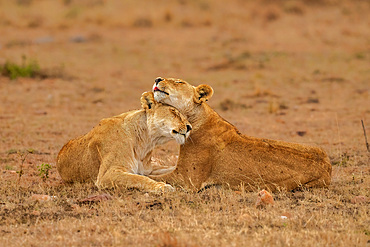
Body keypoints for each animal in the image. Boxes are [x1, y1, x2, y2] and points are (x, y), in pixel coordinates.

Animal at [57, 91, 194, 192]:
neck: (146, 142)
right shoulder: (107, 175)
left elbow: (169, 168)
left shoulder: (148, 169)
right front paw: (162, 187)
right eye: (174, 112)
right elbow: (138, 179)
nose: (189, 127)